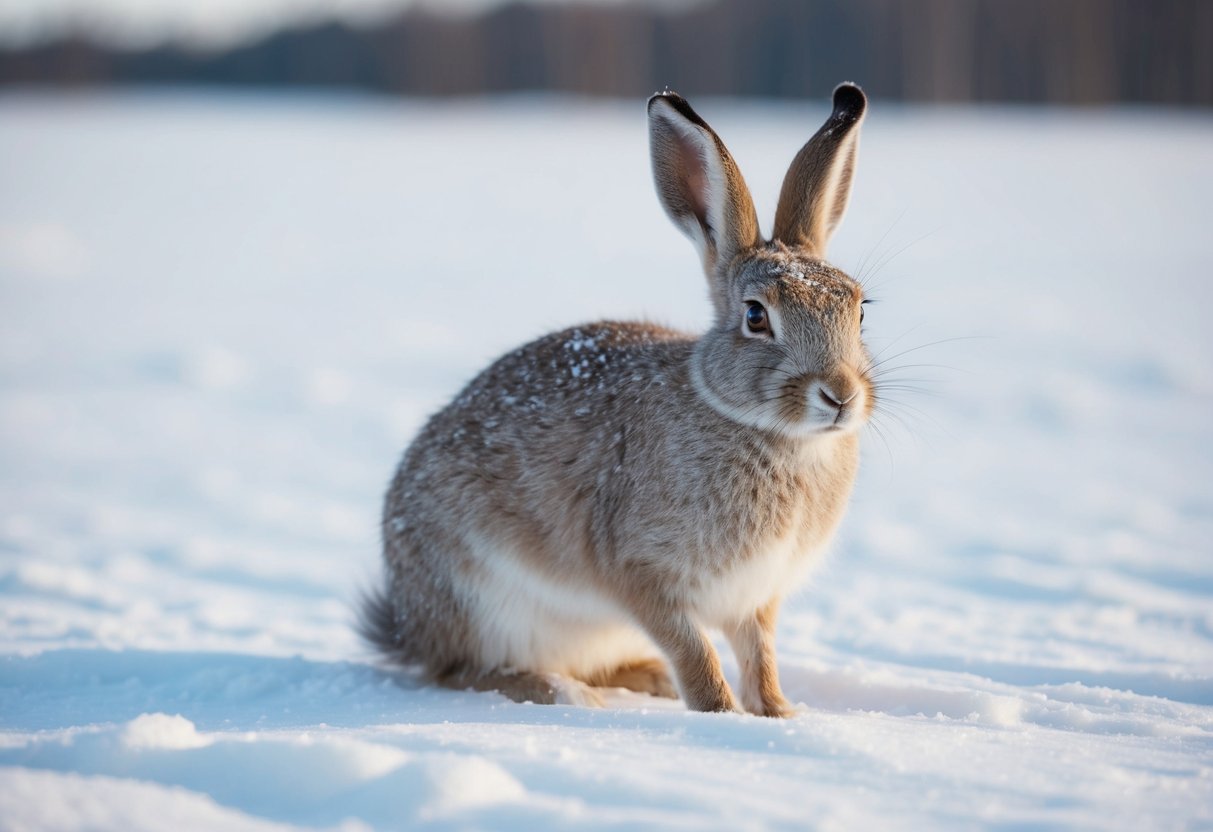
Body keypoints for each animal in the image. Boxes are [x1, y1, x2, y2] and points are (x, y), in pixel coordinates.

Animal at [360, 83, 874, 717]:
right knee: (462, 671)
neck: (774, 436)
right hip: (481, 601)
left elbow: (760, 657)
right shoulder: (642, 575)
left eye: (859, 310)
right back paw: (562, 691)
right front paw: (721, 714)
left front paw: (778, 714)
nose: (841, 395)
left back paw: (643, 678)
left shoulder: (755, 597)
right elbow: (694, 652)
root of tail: (408, 625)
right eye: (756, 317)